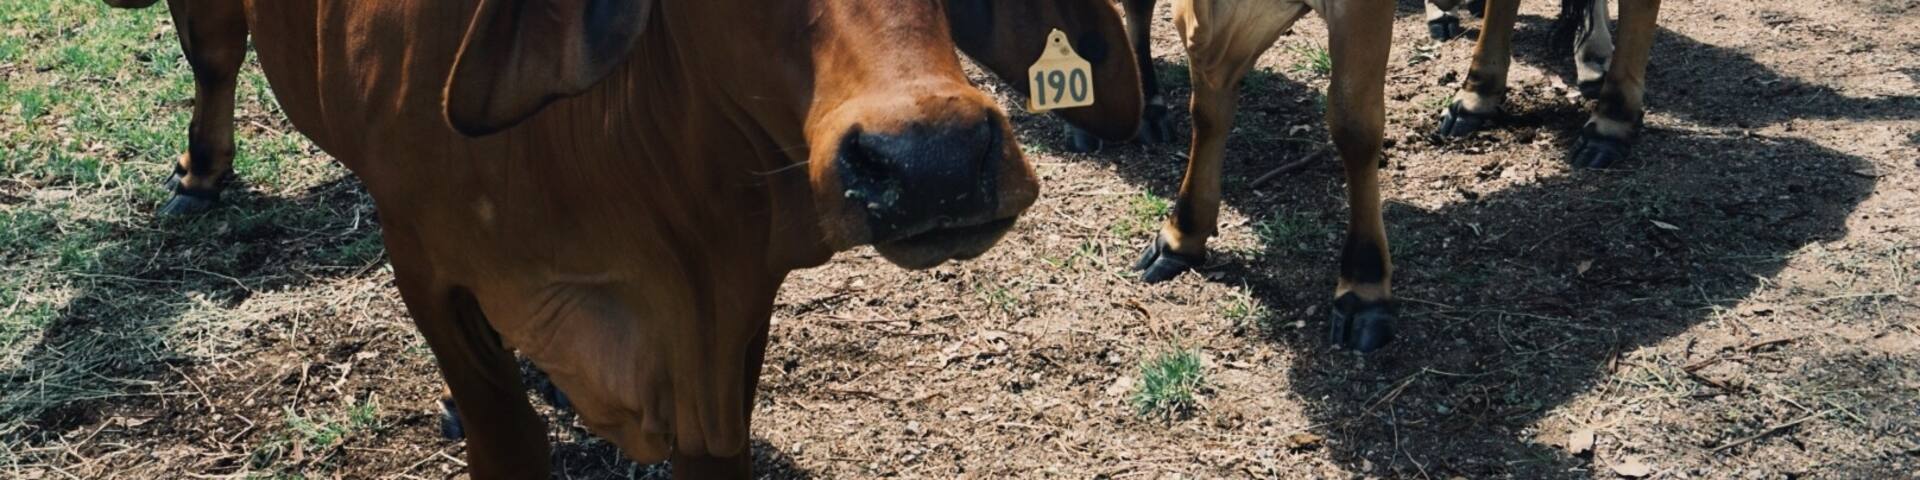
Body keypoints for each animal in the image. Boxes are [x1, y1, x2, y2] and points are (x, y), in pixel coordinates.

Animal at [106, 0, 1143, 477]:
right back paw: (201, 177)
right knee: (212, 46)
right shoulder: (420, 256)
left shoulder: (728, 303)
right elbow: (506, 431)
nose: (933, 159)